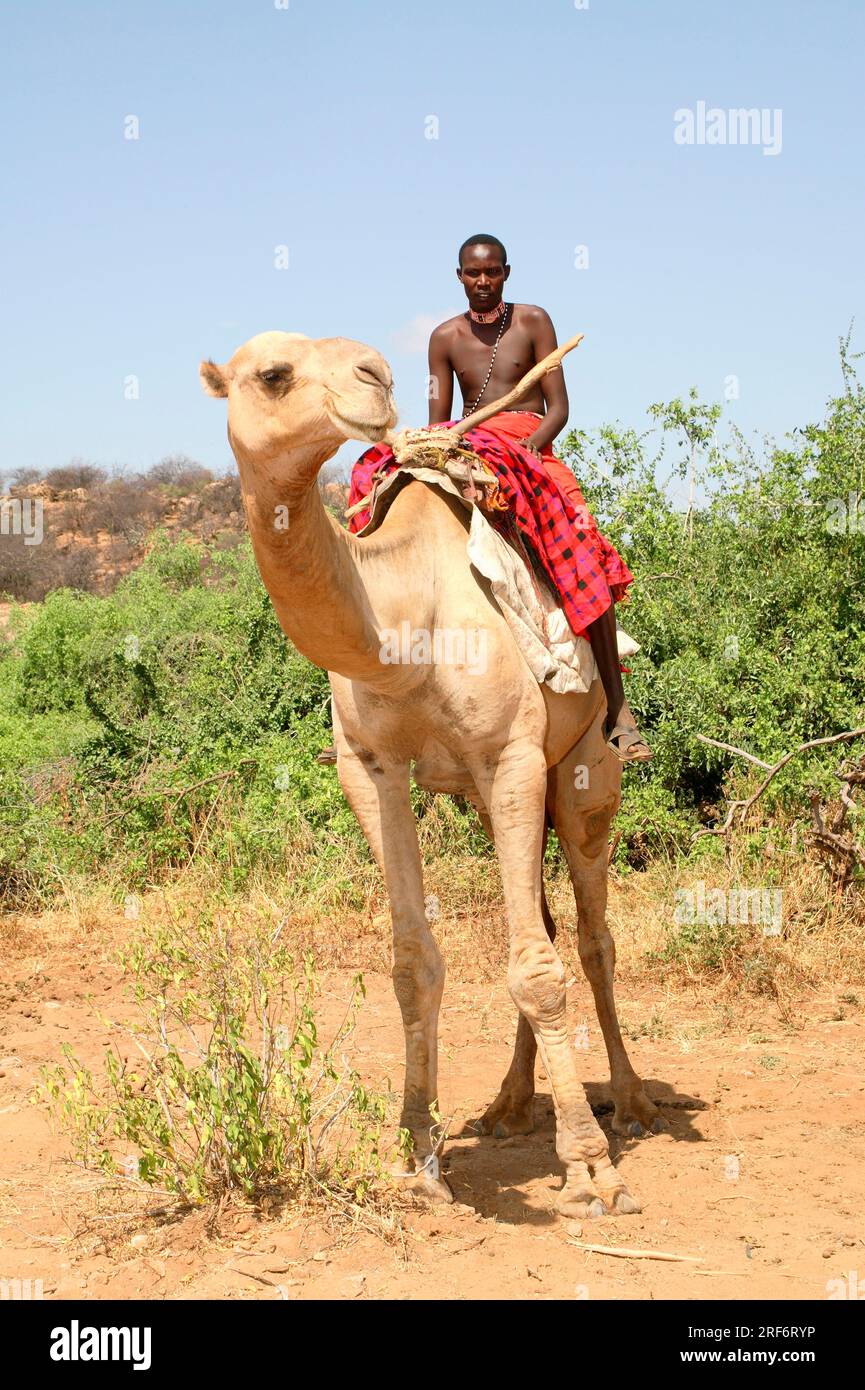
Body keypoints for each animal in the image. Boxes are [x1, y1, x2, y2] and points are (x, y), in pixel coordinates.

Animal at [203, 333, 664, 1217]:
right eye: (271, 374)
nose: (373, 375)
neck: (402, 618)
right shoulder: (370, 768)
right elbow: (414, 962)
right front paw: (415, 1152)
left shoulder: (510, 754)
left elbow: (537, 970)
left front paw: (591, 1173)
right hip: (492, 800)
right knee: (543, 921)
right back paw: (510, 1107)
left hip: (583, 773)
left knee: (590, 937)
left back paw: (627, 1105)